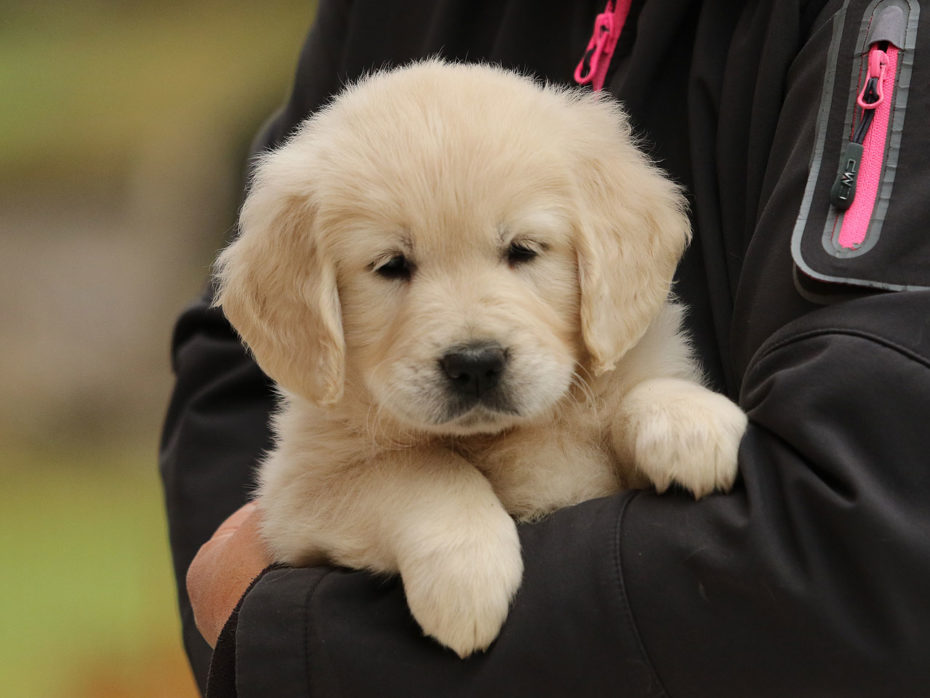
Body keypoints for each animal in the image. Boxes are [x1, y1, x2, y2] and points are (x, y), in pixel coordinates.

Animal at [212, 59, 748, 656]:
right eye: (391, 265)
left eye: (523, 250)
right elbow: (422, 468)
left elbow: (640, 388)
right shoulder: (297, 495)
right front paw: (467, 580)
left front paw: (688, 421)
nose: (474, 364)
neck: (505, 436)